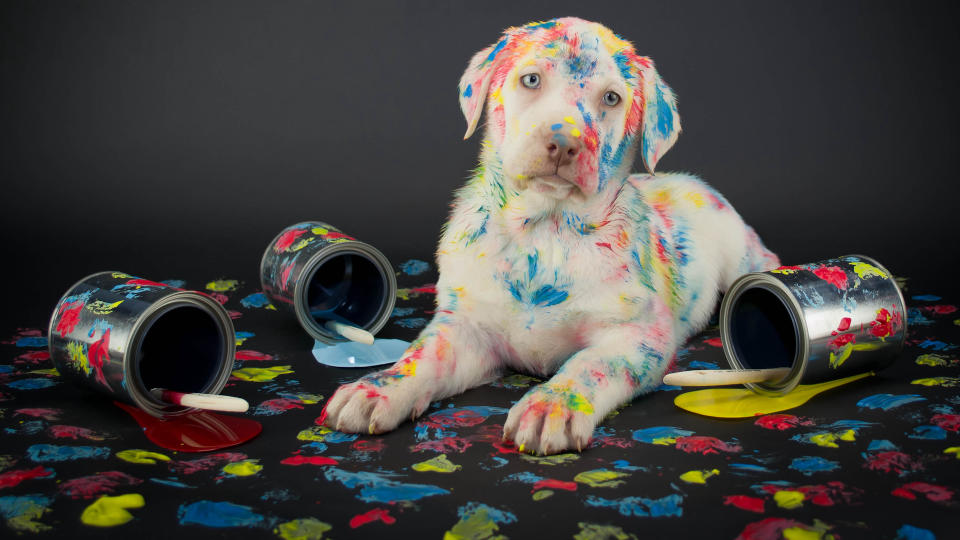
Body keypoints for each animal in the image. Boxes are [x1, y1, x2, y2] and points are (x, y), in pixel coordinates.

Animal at [322, 16, 780, 454]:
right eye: (531, 80)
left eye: (611, 98)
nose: (563, 142)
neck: (544, 232)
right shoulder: (467, 326)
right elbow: (424, 355)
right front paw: (379, 388)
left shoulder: (639, 337)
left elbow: (589, 365)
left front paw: (551, 406)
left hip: (741, 253)